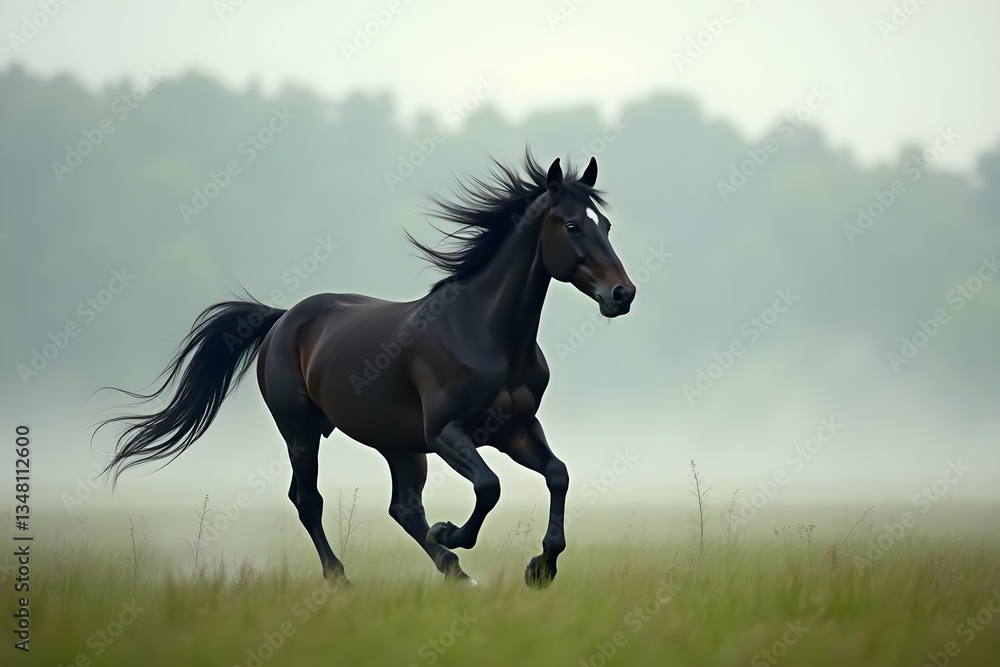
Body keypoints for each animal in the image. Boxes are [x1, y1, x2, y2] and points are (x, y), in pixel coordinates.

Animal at [98, 151, 636, 588]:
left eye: (607, 226)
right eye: (572, 226)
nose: (622, 294)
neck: (486, 334)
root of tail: (282, 318)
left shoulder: (516, 430)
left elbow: (558, 475)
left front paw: (540, 568)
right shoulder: (447, 433)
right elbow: (489, 487)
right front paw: (453, 532)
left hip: (397, 442)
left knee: (402, 508)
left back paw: (455, 574)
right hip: (301, 430)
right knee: (309, 500)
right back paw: (345, 577)